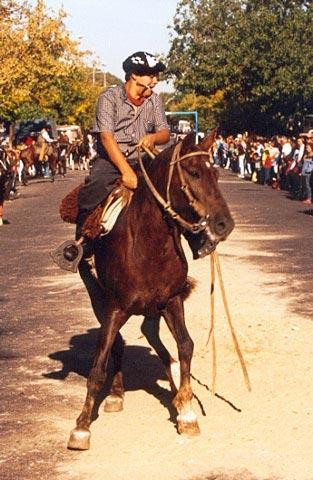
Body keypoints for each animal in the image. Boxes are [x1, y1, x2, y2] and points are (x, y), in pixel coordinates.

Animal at [67, 131, 234, 450]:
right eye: (193, 172)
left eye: (216, 174)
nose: (224, 224)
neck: (148, 243)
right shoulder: (115, 307)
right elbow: (98, 366)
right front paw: (81, 427)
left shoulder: (172, 300)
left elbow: (186, 345)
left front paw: (187, 410)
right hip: (98, 297)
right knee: (119, 343)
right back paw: (117, 394)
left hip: (152, 307)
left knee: (150, 334)